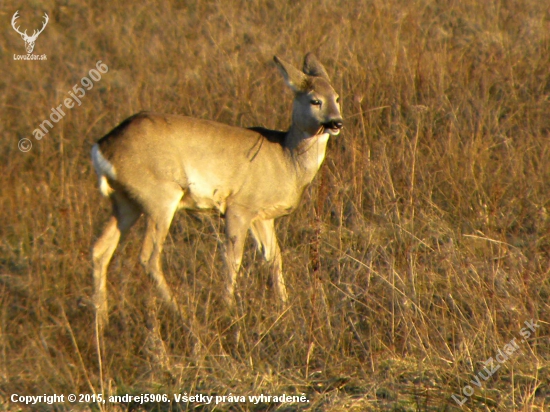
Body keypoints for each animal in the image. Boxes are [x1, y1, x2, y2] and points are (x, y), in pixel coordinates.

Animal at [92, 53, 344, 324]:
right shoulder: (239, 206)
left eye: (337, 97)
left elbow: (274, 258)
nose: (337, 122)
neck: (286, 160)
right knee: (148, 257)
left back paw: (101, 323)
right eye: (315, 100)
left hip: (126, 202)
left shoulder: (263, 216)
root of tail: (102, 148)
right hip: (160, 197)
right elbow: (233, 259)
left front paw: (285, 308)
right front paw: (229, 310)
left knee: (100, 250)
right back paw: (182, 315)